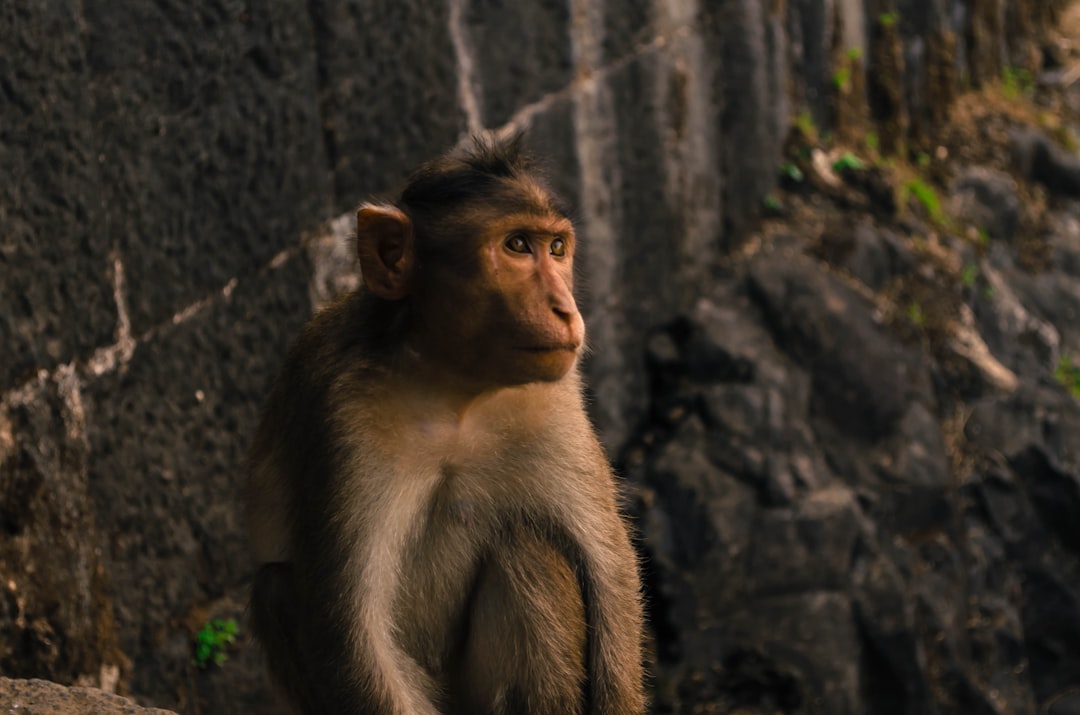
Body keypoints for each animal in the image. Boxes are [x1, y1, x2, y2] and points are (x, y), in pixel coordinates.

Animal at [247, 136, 643, 715]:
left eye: (556, 249)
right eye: (517, 245)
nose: (566, 309)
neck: (455, 390)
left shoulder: (553, 399)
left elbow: (609, 569)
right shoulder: (340, 413)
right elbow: (353, 634)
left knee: (527, 547)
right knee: (276, 586)